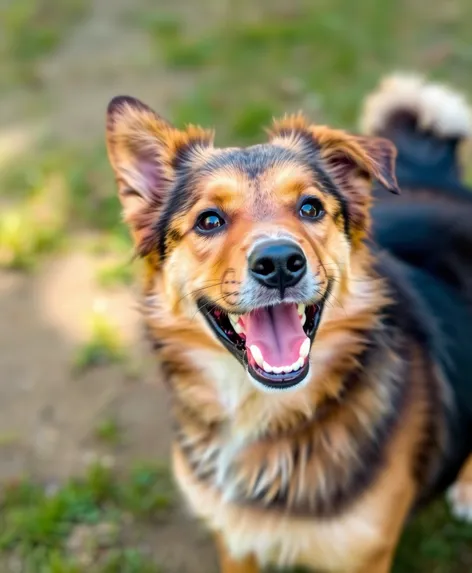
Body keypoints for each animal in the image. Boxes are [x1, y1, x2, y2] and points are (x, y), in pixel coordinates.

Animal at [105, 73, 472, 568]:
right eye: (209, 220)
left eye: (310, 208)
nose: (279, 262)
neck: (262, 412)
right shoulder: (234, 540)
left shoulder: (364, 555)